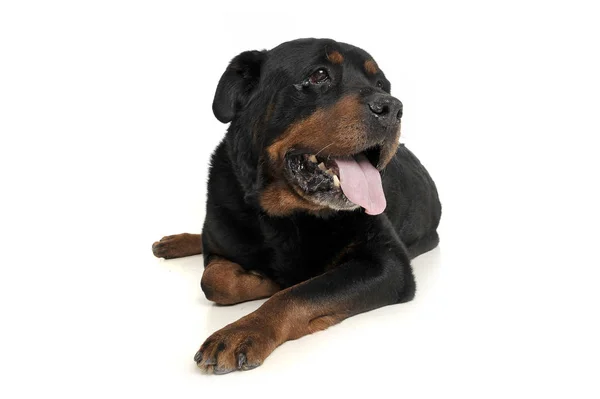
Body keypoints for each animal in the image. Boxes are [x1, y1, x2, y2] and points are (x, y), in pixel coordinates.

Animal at [151, 37, 440, 376]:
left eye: (381, 84)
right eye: (318, 75)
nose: (392, 107)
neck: (288, 217)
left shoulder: (388, 263)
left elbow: (298, 293)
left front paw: (244, 329)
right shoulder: (218, 242)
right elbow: (214, 280)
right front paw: (263, 279)